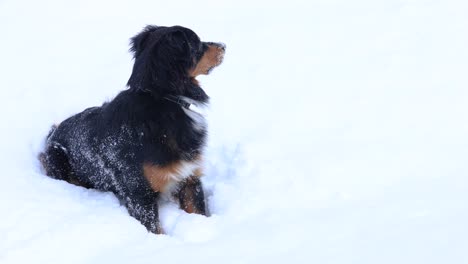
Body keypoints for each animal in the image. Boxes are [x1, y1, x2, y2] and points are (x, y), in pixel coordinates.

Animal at [38, 25, 225, 234]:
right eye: (197, 44)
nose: (223, 46)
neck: (161, 99)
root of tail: (52, 133)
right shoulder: (139, 193)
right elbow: (154, 228)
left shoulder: (189, 178)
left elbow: (198, 211)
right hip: (57, 156)